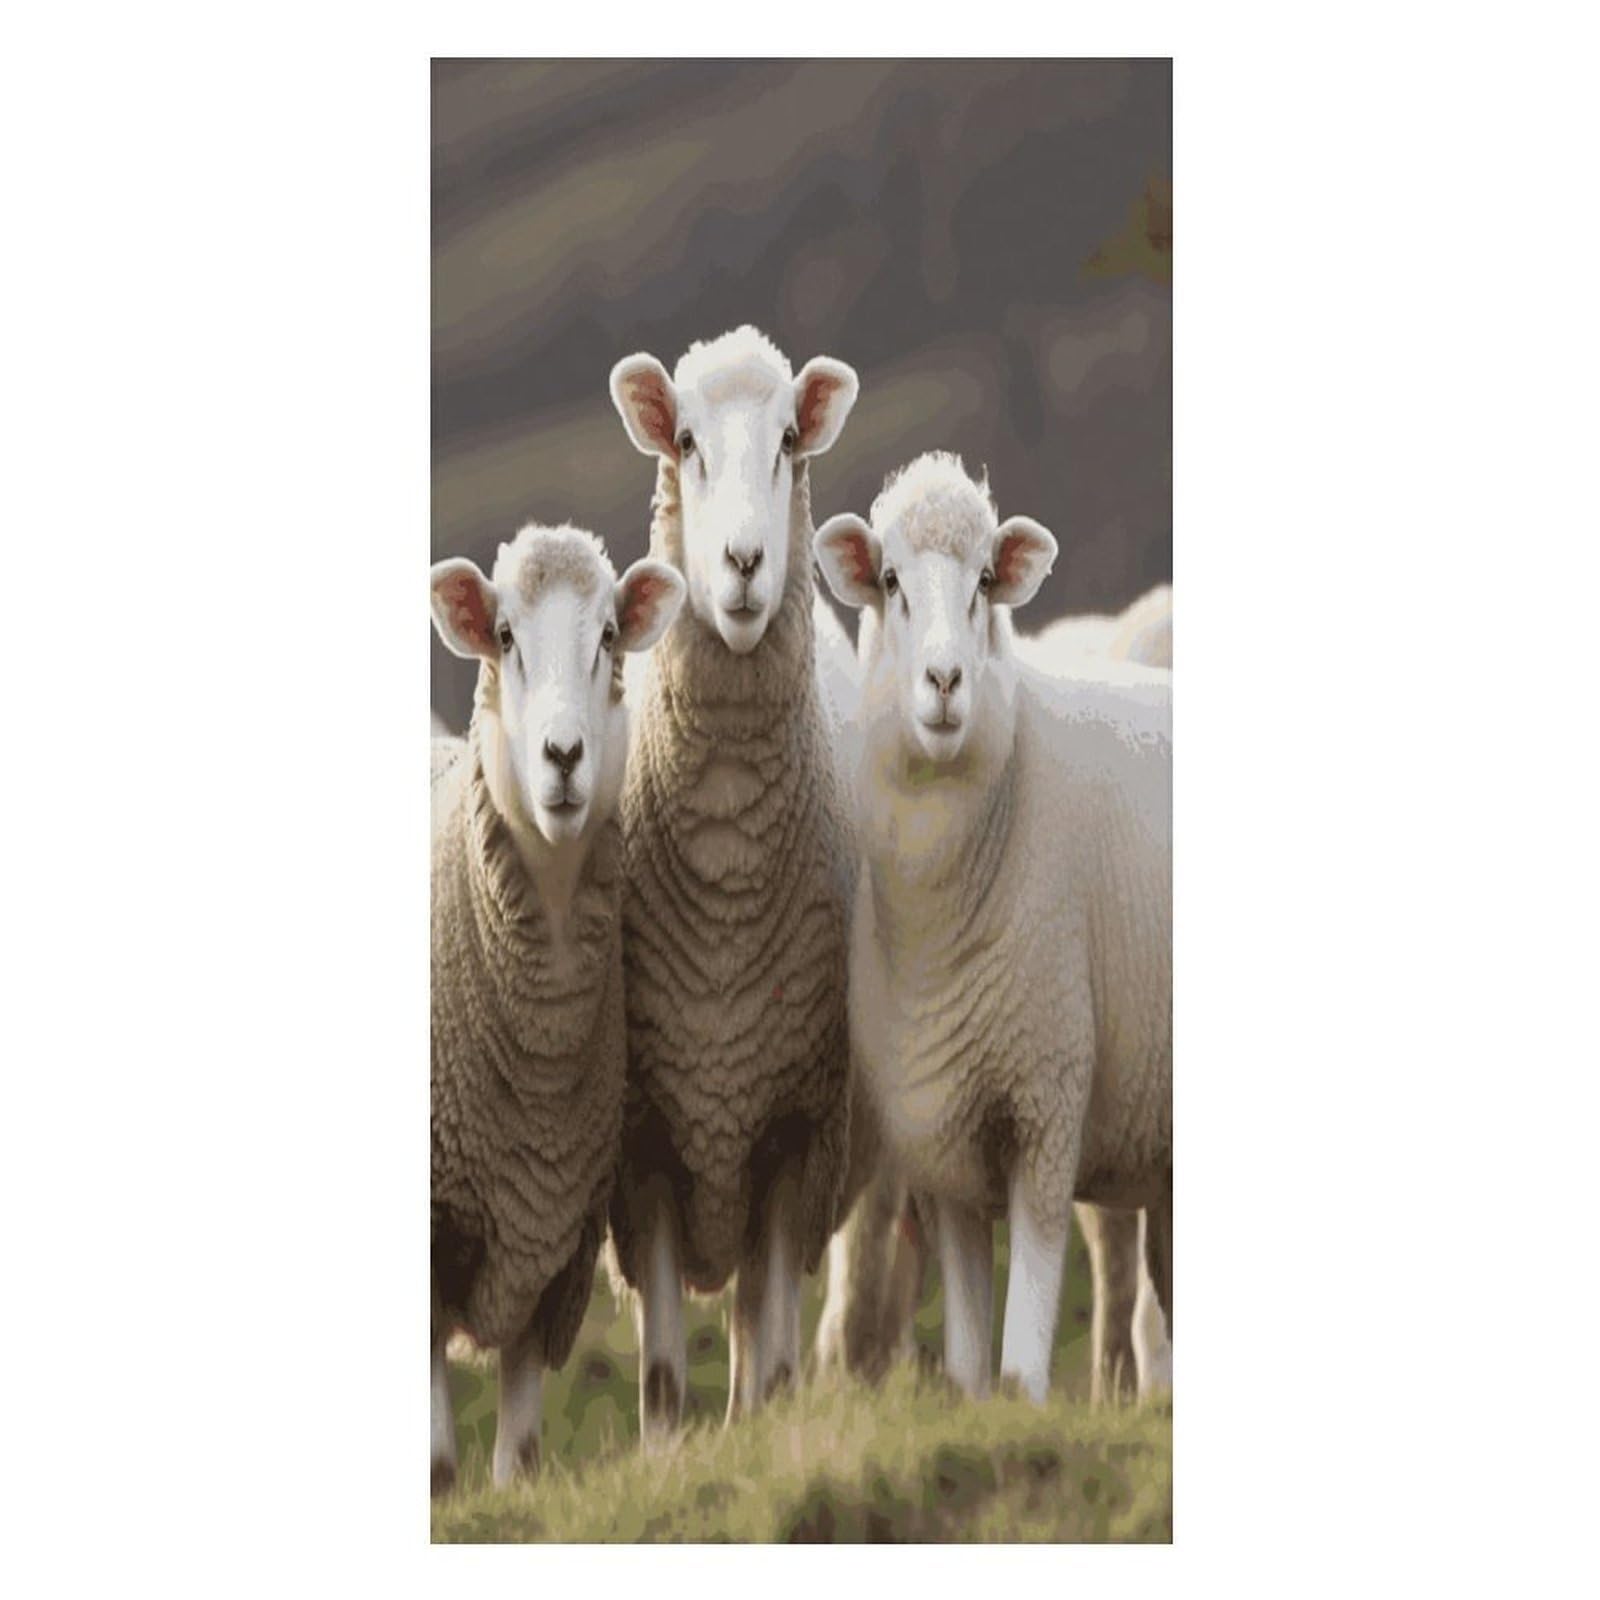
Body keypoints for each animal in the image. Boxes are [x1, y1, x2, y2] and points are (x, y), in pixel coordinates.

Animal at [428, 523, 685, 1494]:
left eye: (609, 634)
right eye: (504, 637)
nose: (566, 758)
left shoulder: (554, 1243)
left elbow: (524, 1457)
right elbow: (438, 1467)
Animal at [813, 451, 1172, 1405]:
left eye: (983, 582)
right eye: (890, 581)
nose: (944, 683)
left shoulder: (1048, 1093)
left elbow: (1020, 1344)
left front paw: (1027, 1393)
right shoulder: (937, 1127)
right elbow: (973, 1361)